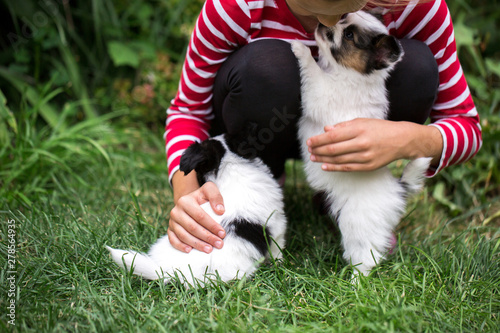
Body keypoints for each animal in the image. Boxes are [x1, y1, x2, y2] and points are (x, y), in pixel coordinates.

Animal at [292, 11, 432, 274]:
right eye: (344, 17)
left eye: (348, 35)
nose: (323, 23)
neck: (348, 74)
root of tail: (397, 190)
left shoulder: (321, 93)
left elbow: (313, 72)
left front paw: (300, 49)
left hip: (358, 227)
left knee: (366, 258)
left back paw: (356, 280)